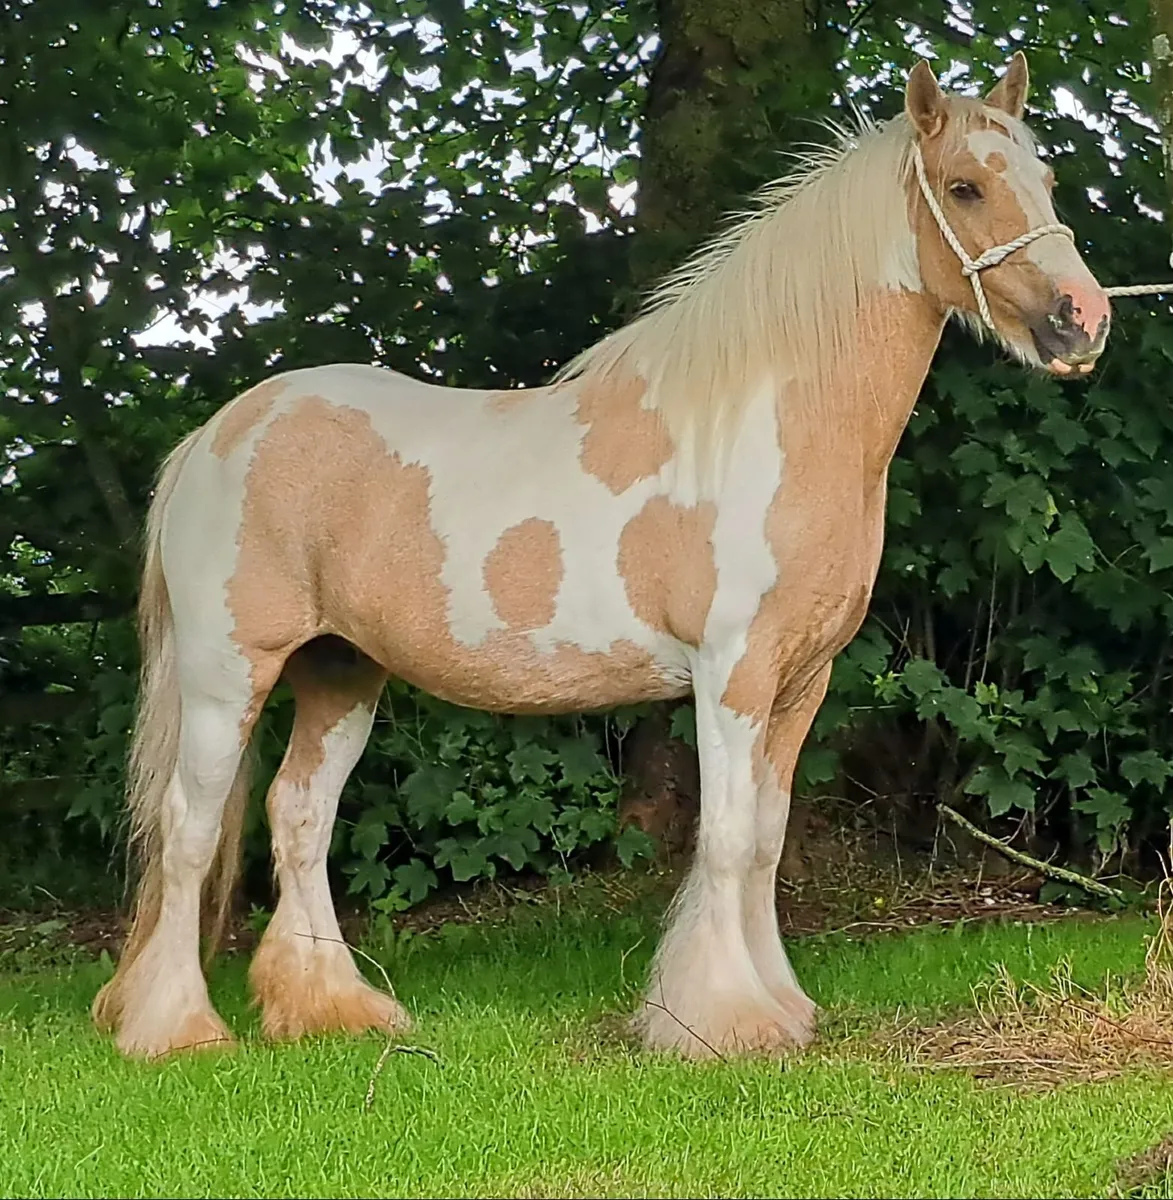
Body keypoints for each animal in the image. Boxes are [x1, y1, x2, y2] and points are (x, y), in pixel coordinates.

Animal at [93, 53, 1111, 1059]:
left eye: (1046, 178)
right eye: (966, 186)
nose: (1082, 320)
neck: (767, 425)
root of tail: (219, 435)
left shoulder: (800, 681)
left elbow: (766, 839)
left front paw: (780, 1007)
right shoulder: (732, 672)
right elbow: (727, 839)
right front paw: (719, 1020)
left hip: (340, 672)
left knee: (298, 814)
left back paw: (330, 1009)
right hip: (230, 672)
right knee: (189, 828)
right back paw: (177, 1028)